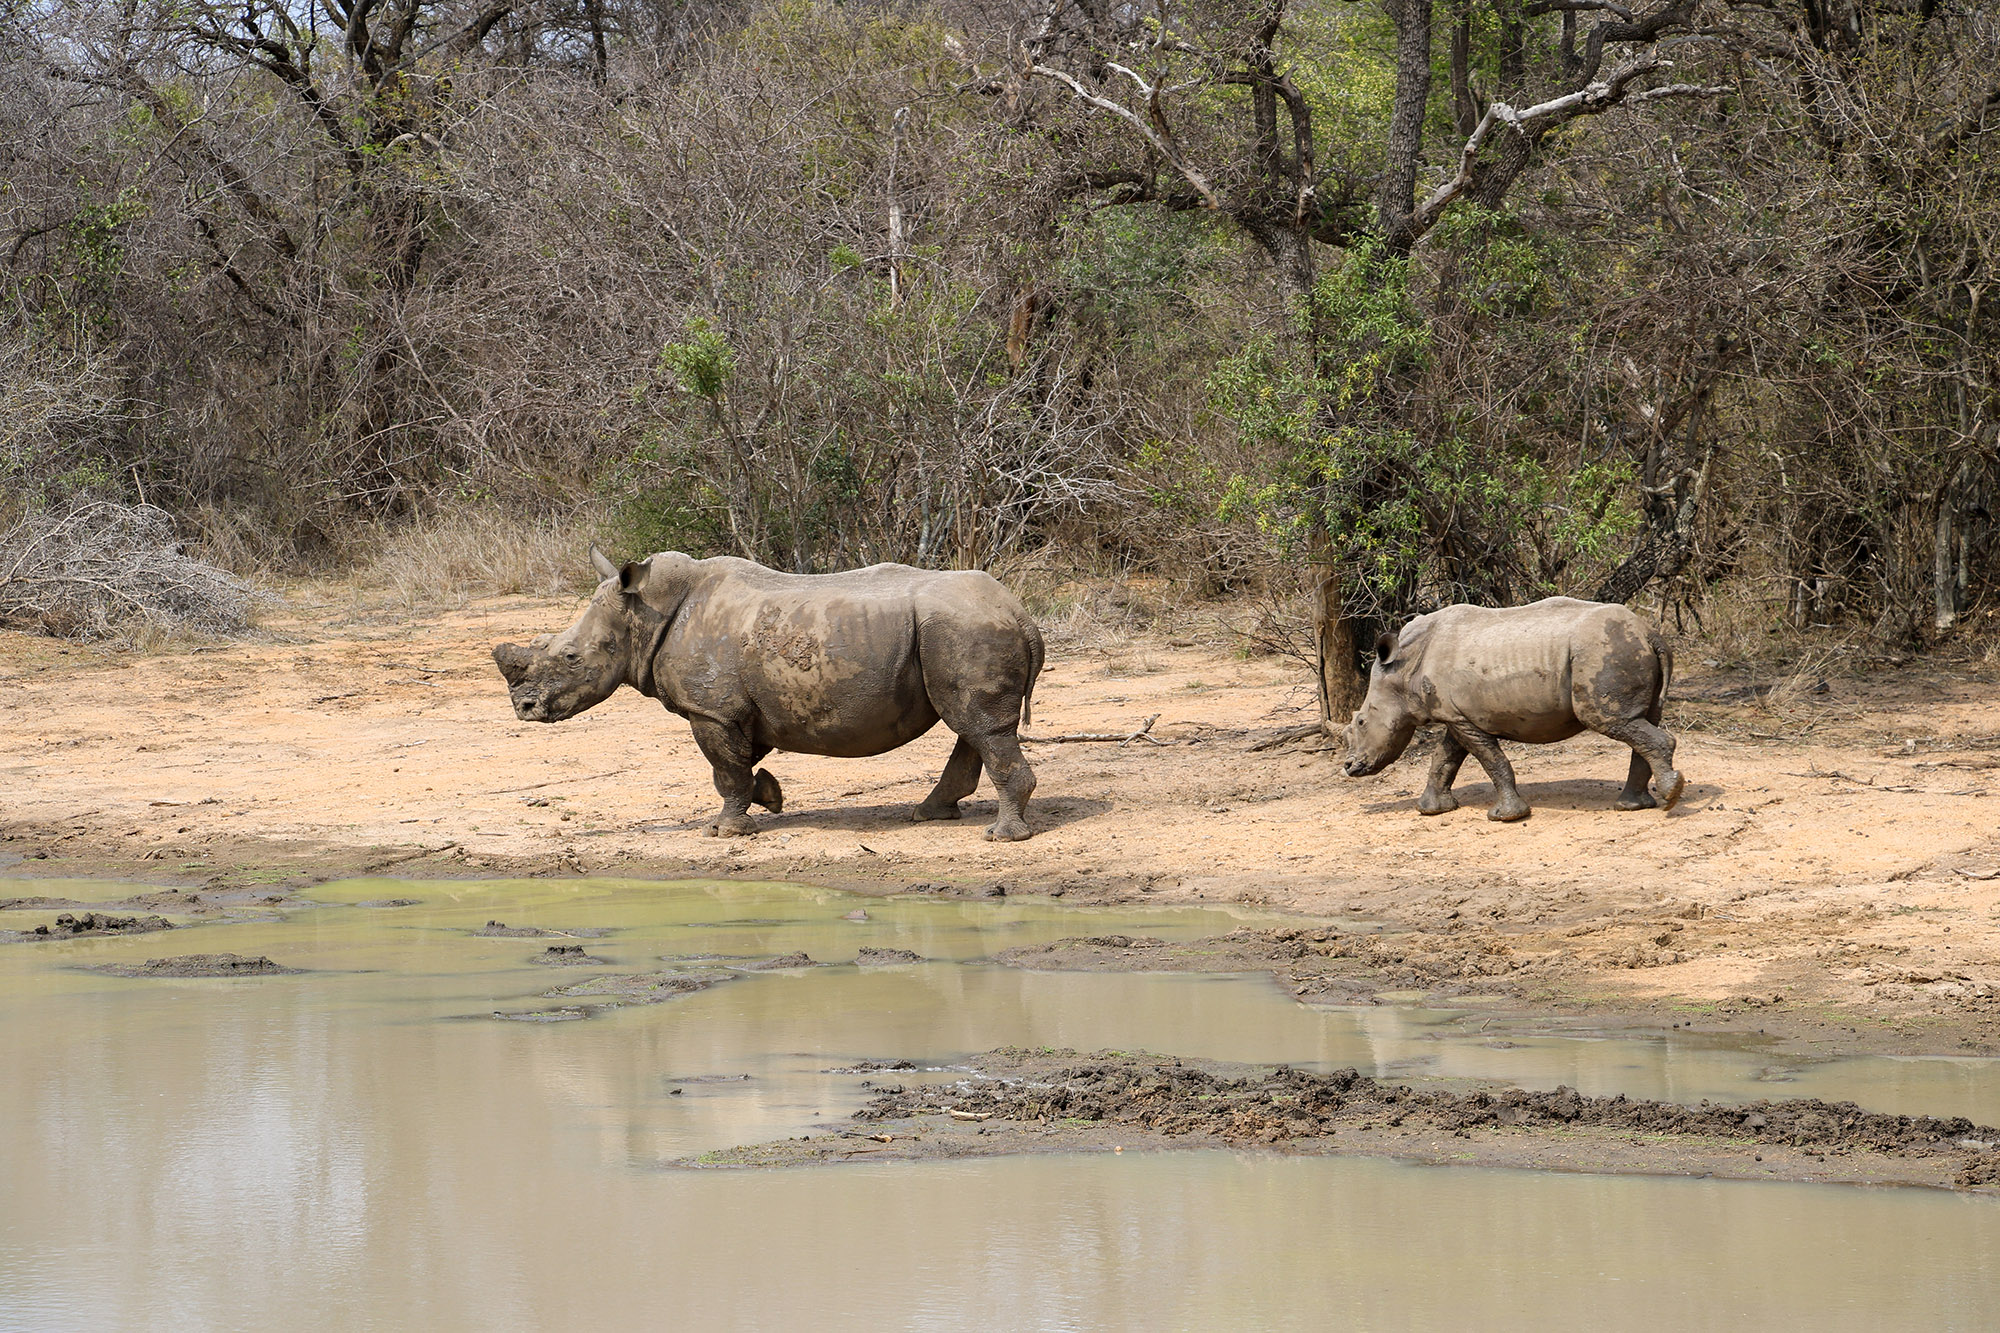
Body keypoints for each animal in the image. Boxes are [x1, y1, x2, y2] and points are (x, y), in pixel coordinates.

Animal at [496, 544, 1048, 836]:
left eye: (571, 658)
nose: (524, 707)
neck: (643, 617)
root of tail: (1021, 615)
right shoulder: (736, 708)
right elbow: (741, 761)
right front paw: (770, 797)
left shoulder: (711, 709)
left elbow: (725, 769)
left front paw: (725, 831)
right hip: (957, 629)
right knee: (971, 726)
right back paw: (931, 813)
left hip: (965, 628)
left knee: (979, 726)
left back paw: (1001, 837)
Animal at [1344, 592, 1688, 820]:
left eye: (1361, 722)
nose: (1349, 767)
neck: (1402, 668)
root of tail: (1651, 633)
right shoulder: (1456, 715)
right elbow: (1444, 759)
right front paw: (1430, 810)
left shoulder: (1461, 718)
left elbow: (1490, 760)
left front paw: (1505, 816)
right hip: (1624, 647)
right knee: (1639, 722)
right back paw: (1635, 805)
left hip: (1604, 651)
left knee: (1612, 721)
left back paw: (1670, 798)